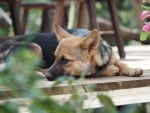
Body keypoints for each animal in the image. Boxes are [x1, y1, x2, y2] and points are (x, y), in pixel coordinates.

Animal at [0, 22, 143, 80]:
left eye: (65, 60)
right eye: (55, 58)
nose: (48, 77)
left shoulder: (112, 57)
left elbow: (121, 62)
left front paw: (131, 69)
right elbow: (96, 72)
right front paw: (110, 70)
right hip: (35, 47)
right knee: (14, 70)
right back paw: (37, 74)